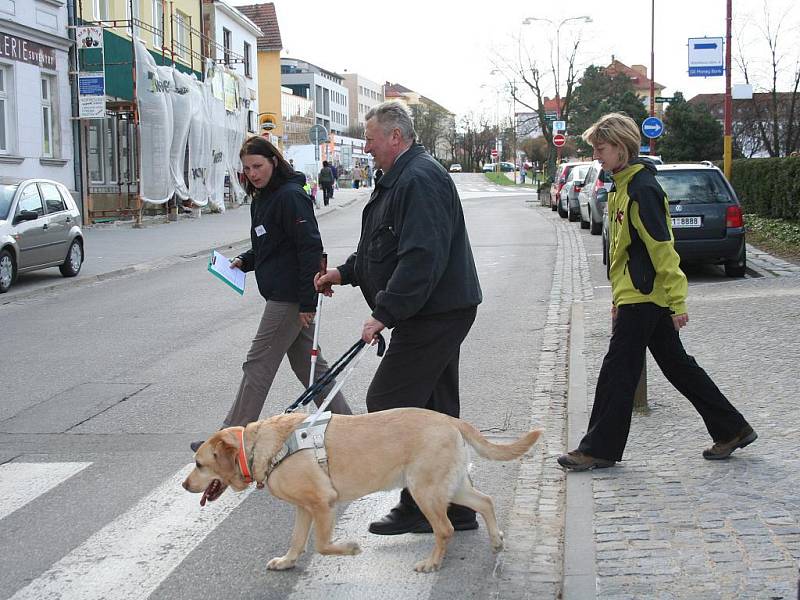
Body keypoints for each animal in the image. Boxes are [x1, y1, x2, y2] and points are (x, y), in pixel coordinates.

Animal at [184, 408, 540, 572]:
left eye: (199, 464)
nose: (184, 485)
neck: (259, 446)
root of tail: (451, 420)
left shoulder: (322, 504)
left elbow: (322, 545)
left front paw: (350, 548)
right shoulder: (303, 509)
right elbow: (297, 541)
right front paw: (287, 561)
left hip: (425, 491)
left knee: (446, 529)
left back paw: (432, 563)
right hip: (450, 487)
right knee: (486, 501)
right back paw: (496, 540)